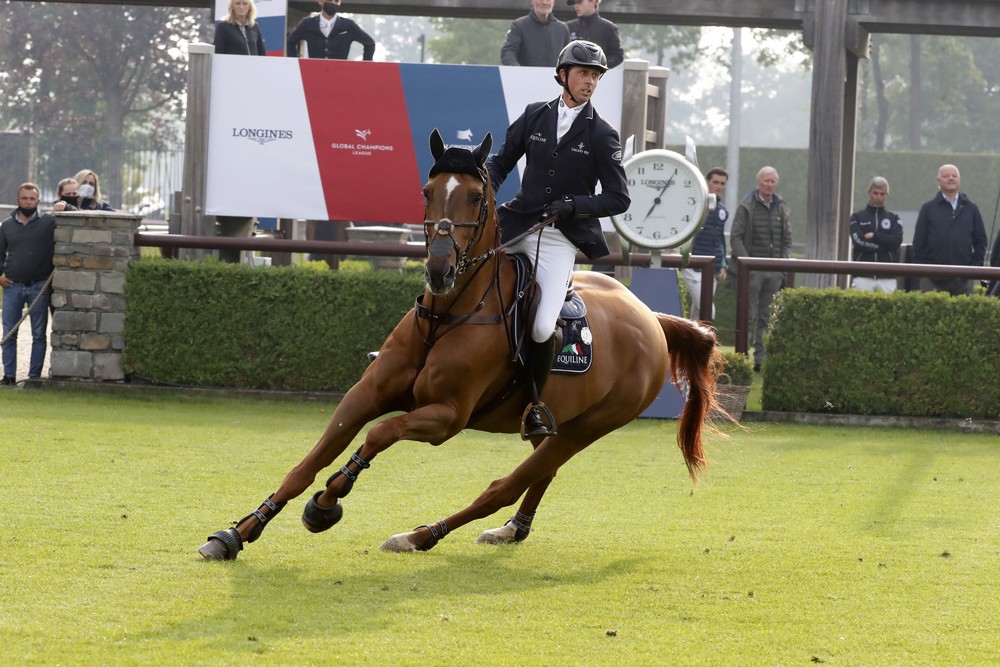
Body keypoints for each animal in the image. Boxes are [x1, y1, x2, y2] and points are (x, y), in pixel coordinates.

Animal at [197, 128, 720, 560]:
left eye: (474, 196)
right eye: (427, 193)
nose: (439, 271)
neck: (446, 315)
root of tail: (651, 319)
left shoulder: (446, 417)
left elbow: (379, 434)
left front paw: (326, 504)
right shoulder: (366, 394)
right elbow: (313, 458)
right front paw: (237, 533)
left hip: (587, 429)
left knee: (505, 486)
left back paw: (420, 536)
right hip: (558, 423)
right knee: (539, 474)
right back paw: (510, 530)